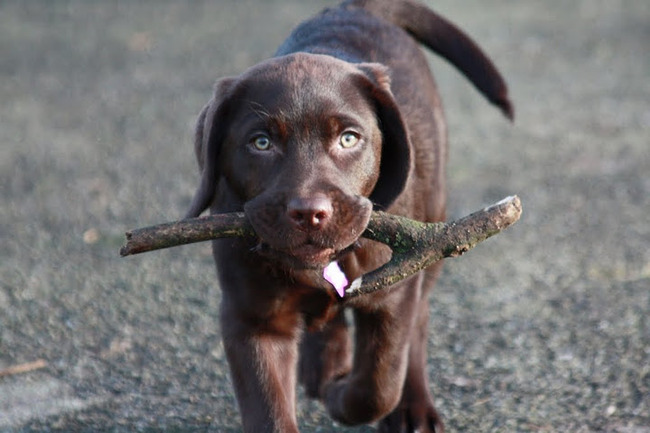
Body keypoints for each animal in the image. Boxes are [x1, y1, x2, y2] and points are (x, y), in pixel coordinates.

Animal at [185, 1, 512, 431]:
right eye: (261, 143)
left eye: (348, 139)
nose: (309, 213)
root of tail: (353, 7)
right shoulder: (251, 317)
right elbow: (269, 411)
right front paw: (326, 377)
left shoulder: (392, 295)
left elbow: (377, 385)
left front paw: (341, 393)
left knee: (418, 326)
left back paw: (411, 407)